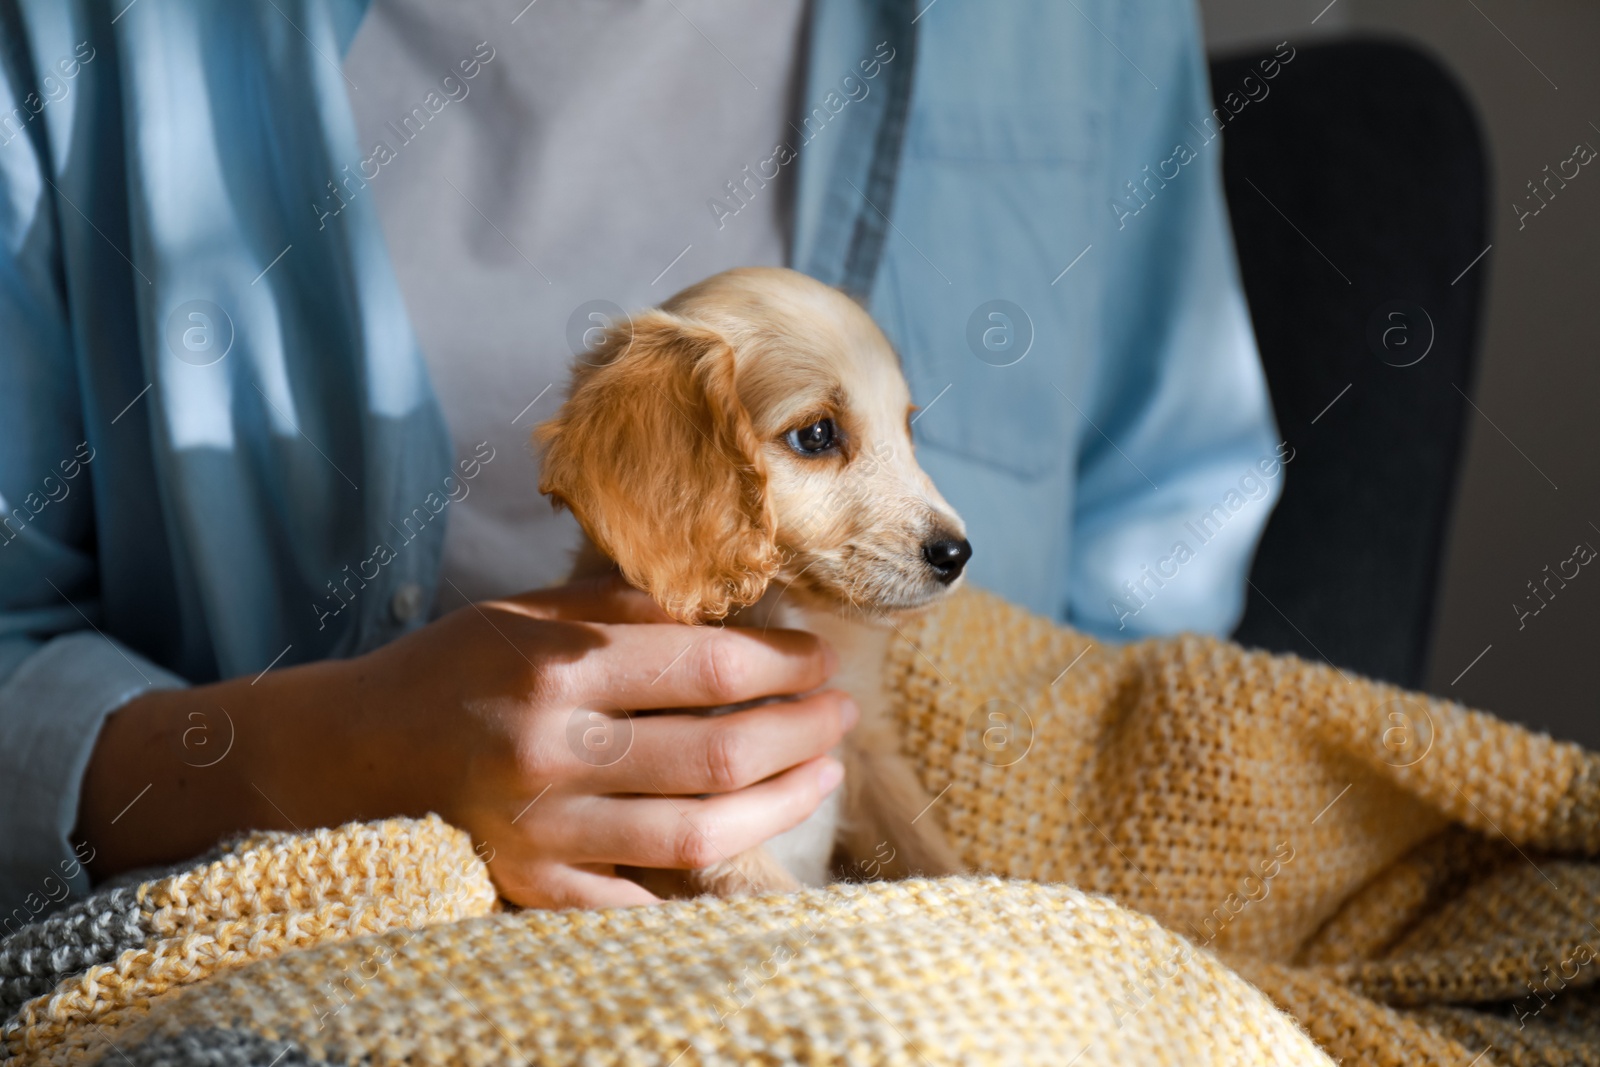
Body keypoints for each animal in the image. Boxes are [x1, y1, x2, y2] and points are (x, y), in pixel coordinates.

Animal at [537, 267, 966, 902]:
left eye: (906, 429)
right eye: (816, 434)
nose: (957, 553)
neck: (776, 615)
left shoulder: (868, 744)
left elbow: (931, 852)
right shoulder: (703, 820)